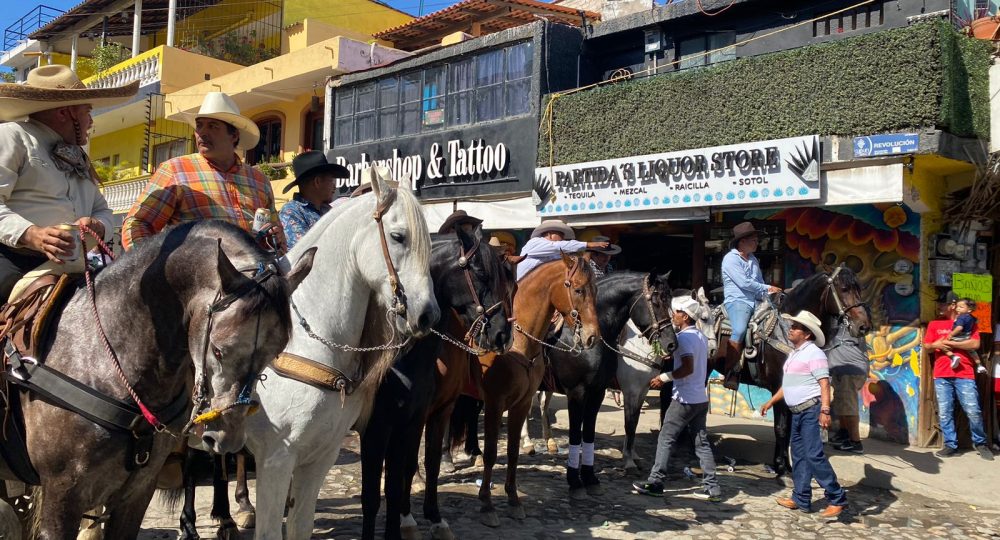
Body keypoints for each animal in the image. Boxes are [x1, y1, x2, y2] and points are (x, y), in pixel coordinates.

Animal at [360, 224, 516, 540]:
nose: (503, 336)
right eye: (481, 273)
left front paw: (434, 518)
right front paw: (408, 519)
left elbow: (427, 463)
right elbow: (391, 479)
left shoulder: (433, 412)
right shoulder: (379, 425)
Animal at [474, 253, 596, 528]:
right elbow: (491, 454)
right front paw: (486, 505)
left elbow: (513, 451)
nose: (593, 336)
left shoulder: (521, 403)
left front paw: (513, 499)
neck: (518, 345)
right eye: (579, 289)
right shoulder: (495, 403)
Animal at [536, 274, 676, 498]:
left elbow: (591, 431)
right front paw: (576, 481)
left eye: (670, 302)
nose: (671, 344)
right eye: (656, 301)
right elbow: (586, 431)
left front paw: (590, 478)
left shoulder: (601, 391)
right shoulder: (580, 391)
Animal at [716, 264, 872, 478]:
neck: (787, 330)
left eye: (859, 289)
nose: (864, 326)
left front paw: (785, 466)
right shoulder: (779, 387)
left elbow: (788, 429)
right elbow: (781, 428)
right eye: (844, 289)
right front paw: (782, 468)